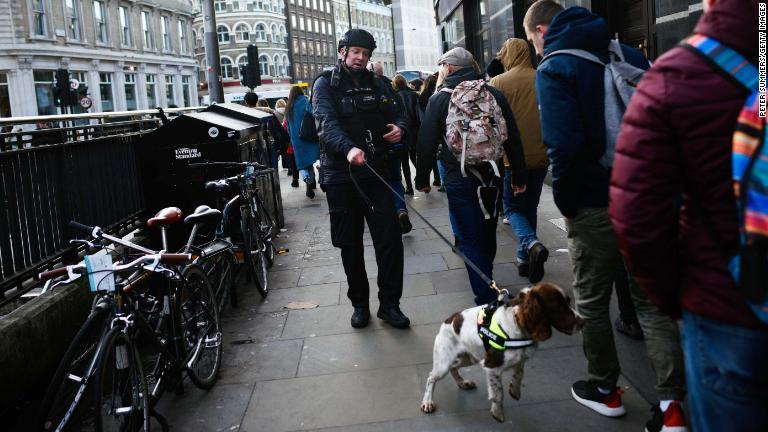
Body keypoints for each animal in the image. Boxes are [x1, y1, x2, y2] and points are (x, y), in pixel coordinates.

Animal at [420, 284, 584, 422]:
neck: (519, 325)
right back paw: (427, 402)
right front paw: (497, 413)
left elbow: (519, 374)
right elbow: (498, 394)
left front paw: (515, 390)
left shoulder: (518, 359)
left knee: (454, 368)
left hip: (469, 357)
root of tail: (449, 320)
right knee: (431, 377)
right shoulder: (491, 366)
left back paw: (463, 383)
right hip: (444, 363)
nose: (583, 322)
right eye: (559, 307)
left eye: (569, 301)